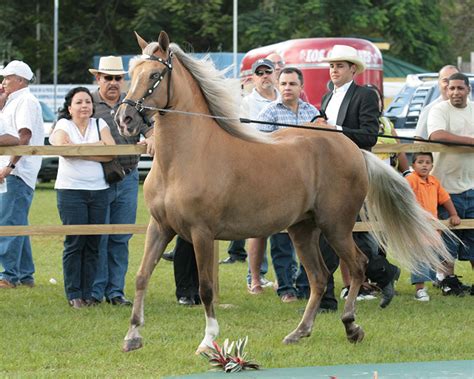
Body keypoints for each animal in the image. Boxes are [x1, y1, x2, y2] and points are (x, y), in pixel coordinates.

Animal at [115, 31, 452, 354]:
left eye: (155, 74)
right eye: (132, 72)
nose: (125, 119)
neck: (183, 160)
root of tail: (354, 149)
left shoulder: (202, 233)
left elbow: (206, 288)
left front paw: (208, 342)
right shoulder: (160, 227)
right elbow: (142, 276)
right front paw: (132, 338)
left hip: (336, 225)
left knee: (356, 266)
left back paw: (351, 326)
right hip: (302, 229)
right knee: (319, 278)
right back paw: (299, 332)